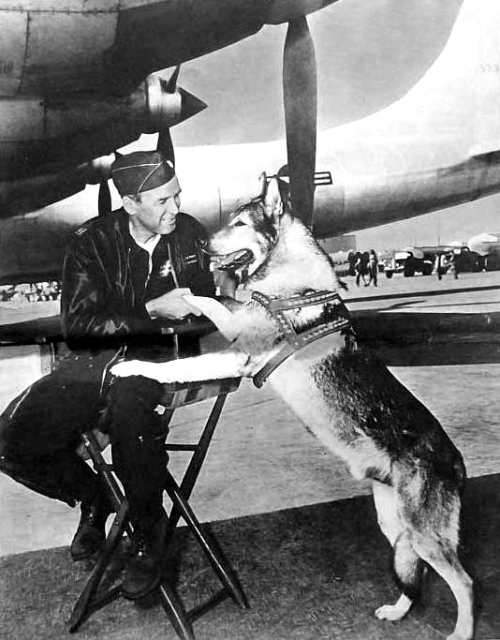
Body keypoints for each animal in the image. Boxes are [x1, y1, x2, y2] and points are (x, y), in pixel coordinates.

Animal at [112, 176, 472, 640]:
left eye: (240, 223)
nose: (203, 246)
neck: (291, 279)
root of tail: (457, 462)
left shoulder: (238, 343)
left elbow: (201, 307)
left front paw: (141, 350)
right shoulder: (237, 351)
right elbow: (203, 322)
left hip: (425, 533)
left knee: (464, 582)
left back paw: (462, 631)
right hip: (397, 527)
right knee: (415, 574)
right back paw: (397, 610)